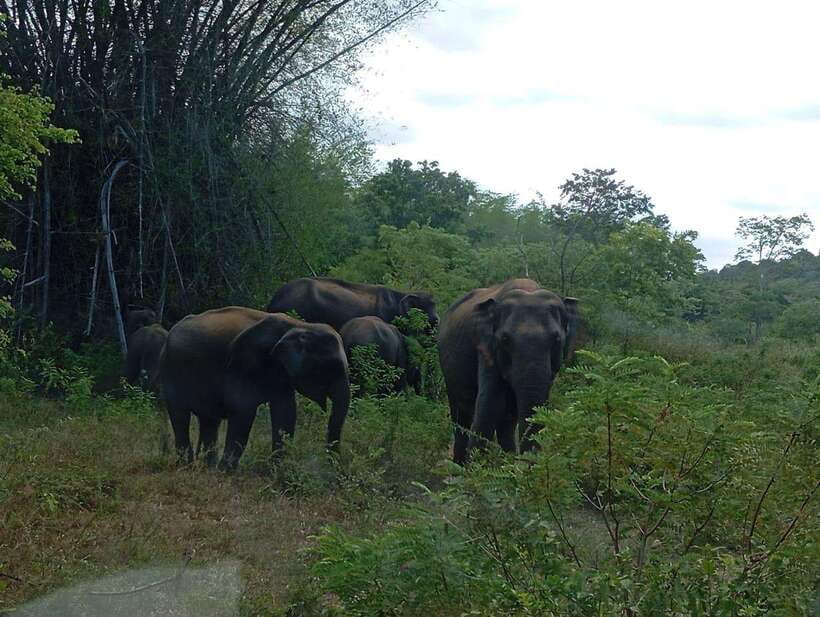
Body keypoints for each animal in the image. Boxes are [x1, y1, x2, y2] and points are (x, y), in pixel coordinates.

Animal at [159, 306, 350, 470]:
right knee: (180, 416)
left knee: (209, 421)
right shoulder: (244, 362)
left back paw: (208, 466)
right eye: (332, 368)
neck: (301, 326)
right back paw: (188, 465)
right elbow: (244, 411)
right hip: (171, 370)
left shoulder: (281, 372)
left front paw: (274, 470)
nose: (332, 468)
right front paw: (226, 471)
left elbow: (285, 412)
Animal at [438, 279, 579, 464]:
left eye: (556, 339)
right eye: (505, 339)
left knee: (507, 420)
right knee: (462, 412)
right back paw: (459, 466)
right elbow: (490, 403)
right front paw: (476, 467)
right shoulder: (487, 348)